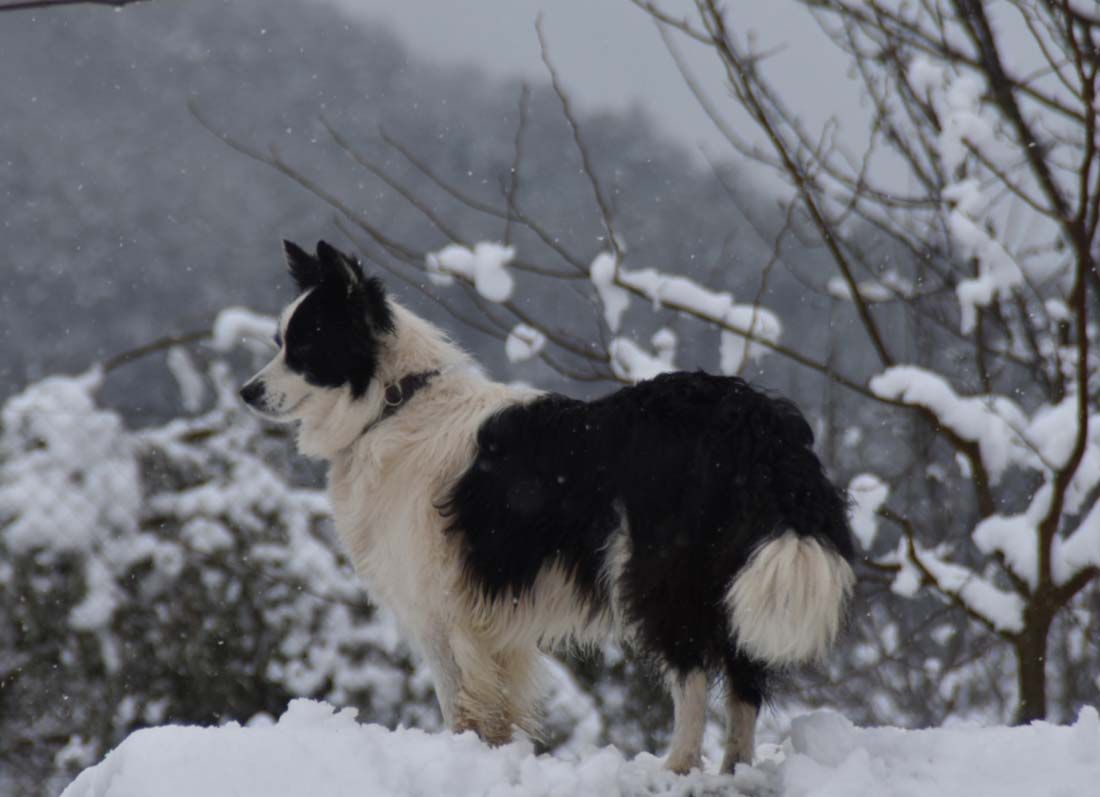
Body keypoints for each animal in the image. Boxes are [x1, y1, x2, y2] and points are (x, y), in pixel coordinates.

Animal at [243, 240, 858, 769]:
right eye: (278, 341)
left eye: (304, 346)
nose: (246, 393)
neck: (394, 403)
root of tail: (754, 421)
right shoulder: (486, 624)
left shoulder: (442, 609)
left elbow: (462, 702)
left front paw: (470, 756)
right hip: (732, 576)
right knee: (744, 683)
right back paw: (735, 770)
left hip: (659, 573)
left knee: (692, 675)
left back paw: (676, 766)